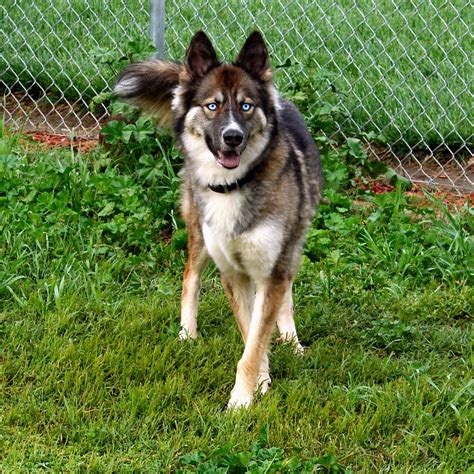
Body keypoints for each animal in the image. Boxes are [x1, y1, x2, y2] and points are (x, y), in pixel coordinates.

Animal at [114, 31, 322, 410]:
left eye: (246, 106)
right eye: (212, 105)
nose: (233, 137)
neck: (233, 187)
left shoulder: (270, 268)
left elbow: (255, 338)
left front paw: (243, 398)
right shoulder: (232, 273)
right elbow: (250, 335)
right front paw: (259, 386)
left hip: (293, 244)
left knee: (286, 291)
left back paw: (291, 339)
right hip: (199, 235)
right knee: (190, 276)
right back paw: (187, 333)